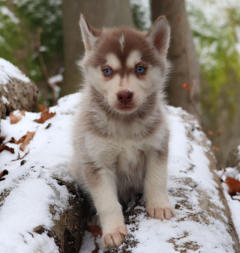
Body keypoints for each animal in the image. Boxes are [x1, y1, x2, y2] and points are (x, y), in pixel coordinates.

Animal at [69, 14, 174, 249]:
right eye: (107, 70)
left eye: (140, 68)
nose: (125, 94)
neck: (125, 125)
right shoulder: (96, 163)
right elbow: (107, 203)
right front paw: (114, 230)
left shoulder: (157, 145)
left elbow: (156, 180)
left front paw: (159, 206)